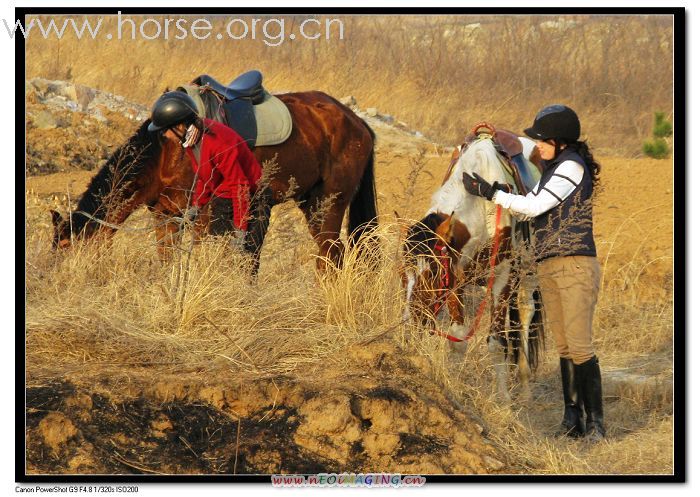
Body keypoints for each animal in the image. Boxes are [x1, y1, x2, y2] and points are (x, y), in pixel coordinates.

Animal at [50, 92, 378, 272]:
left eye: (66, 245)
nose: (58, 281)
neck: (166, 150)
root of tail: (359, 123)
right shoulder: (166, 215)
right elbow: (167, 261)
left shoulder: (203, 216)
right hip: (310, 203)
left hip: (328, 204)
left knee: (331, 255)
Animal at [402, 126, 544, 402]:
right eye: (403, 275)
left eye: (431, 273)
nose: (408, 329)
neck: (480, 207)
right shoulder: (456, 280)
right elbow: (458, 340)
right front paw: (458, 389)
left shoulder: (501, 278)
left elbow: (496, 343)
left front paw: (504, 402)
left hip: (528, 270)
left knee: (525, 314)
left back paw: (523, 387)